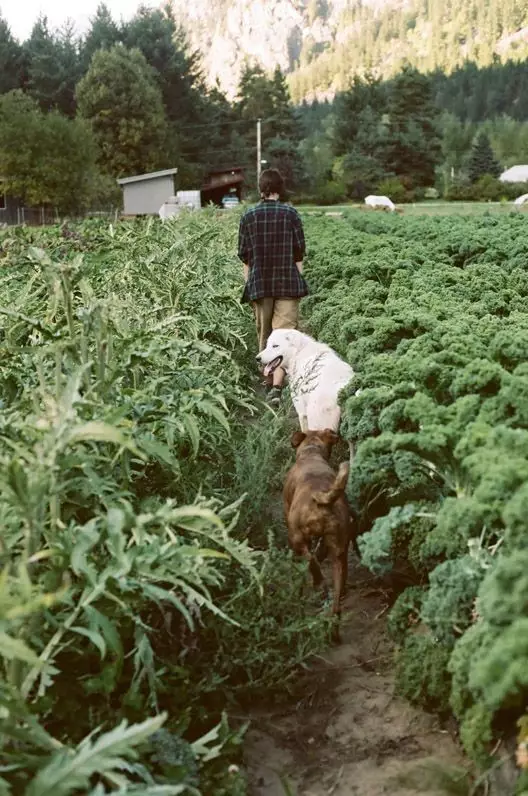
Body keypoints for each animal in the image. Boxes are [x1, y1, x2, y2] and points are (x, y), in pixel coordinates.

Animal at [282, 430, 352, 636]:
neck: (311, 451)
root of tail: (323, 501)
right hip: (339, 556)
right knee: (336, 602)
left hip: (297, 539)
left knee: (312, 563)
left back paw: (319, 585)